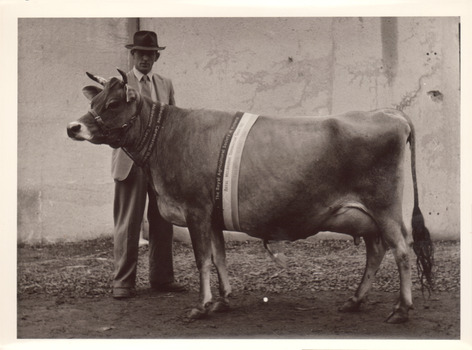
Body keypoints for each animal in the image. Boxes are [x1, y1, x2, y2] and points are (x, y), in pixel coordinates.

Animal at [68, 69, 434, 324]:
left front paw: (201, 307)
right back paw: (355, 301)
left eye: (113, 104)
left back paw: (401, 310)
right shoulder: (213, 215)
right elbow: (219, 257)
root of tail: (389, 112)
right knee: (376, 251)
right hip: (365, 216)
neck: (166, 137)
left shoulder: (196, 210)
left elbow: (202, 259)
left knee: (401, 250)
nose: (73, 127)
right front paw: (222, 300)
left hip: (385, 207)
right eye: (92, 103)